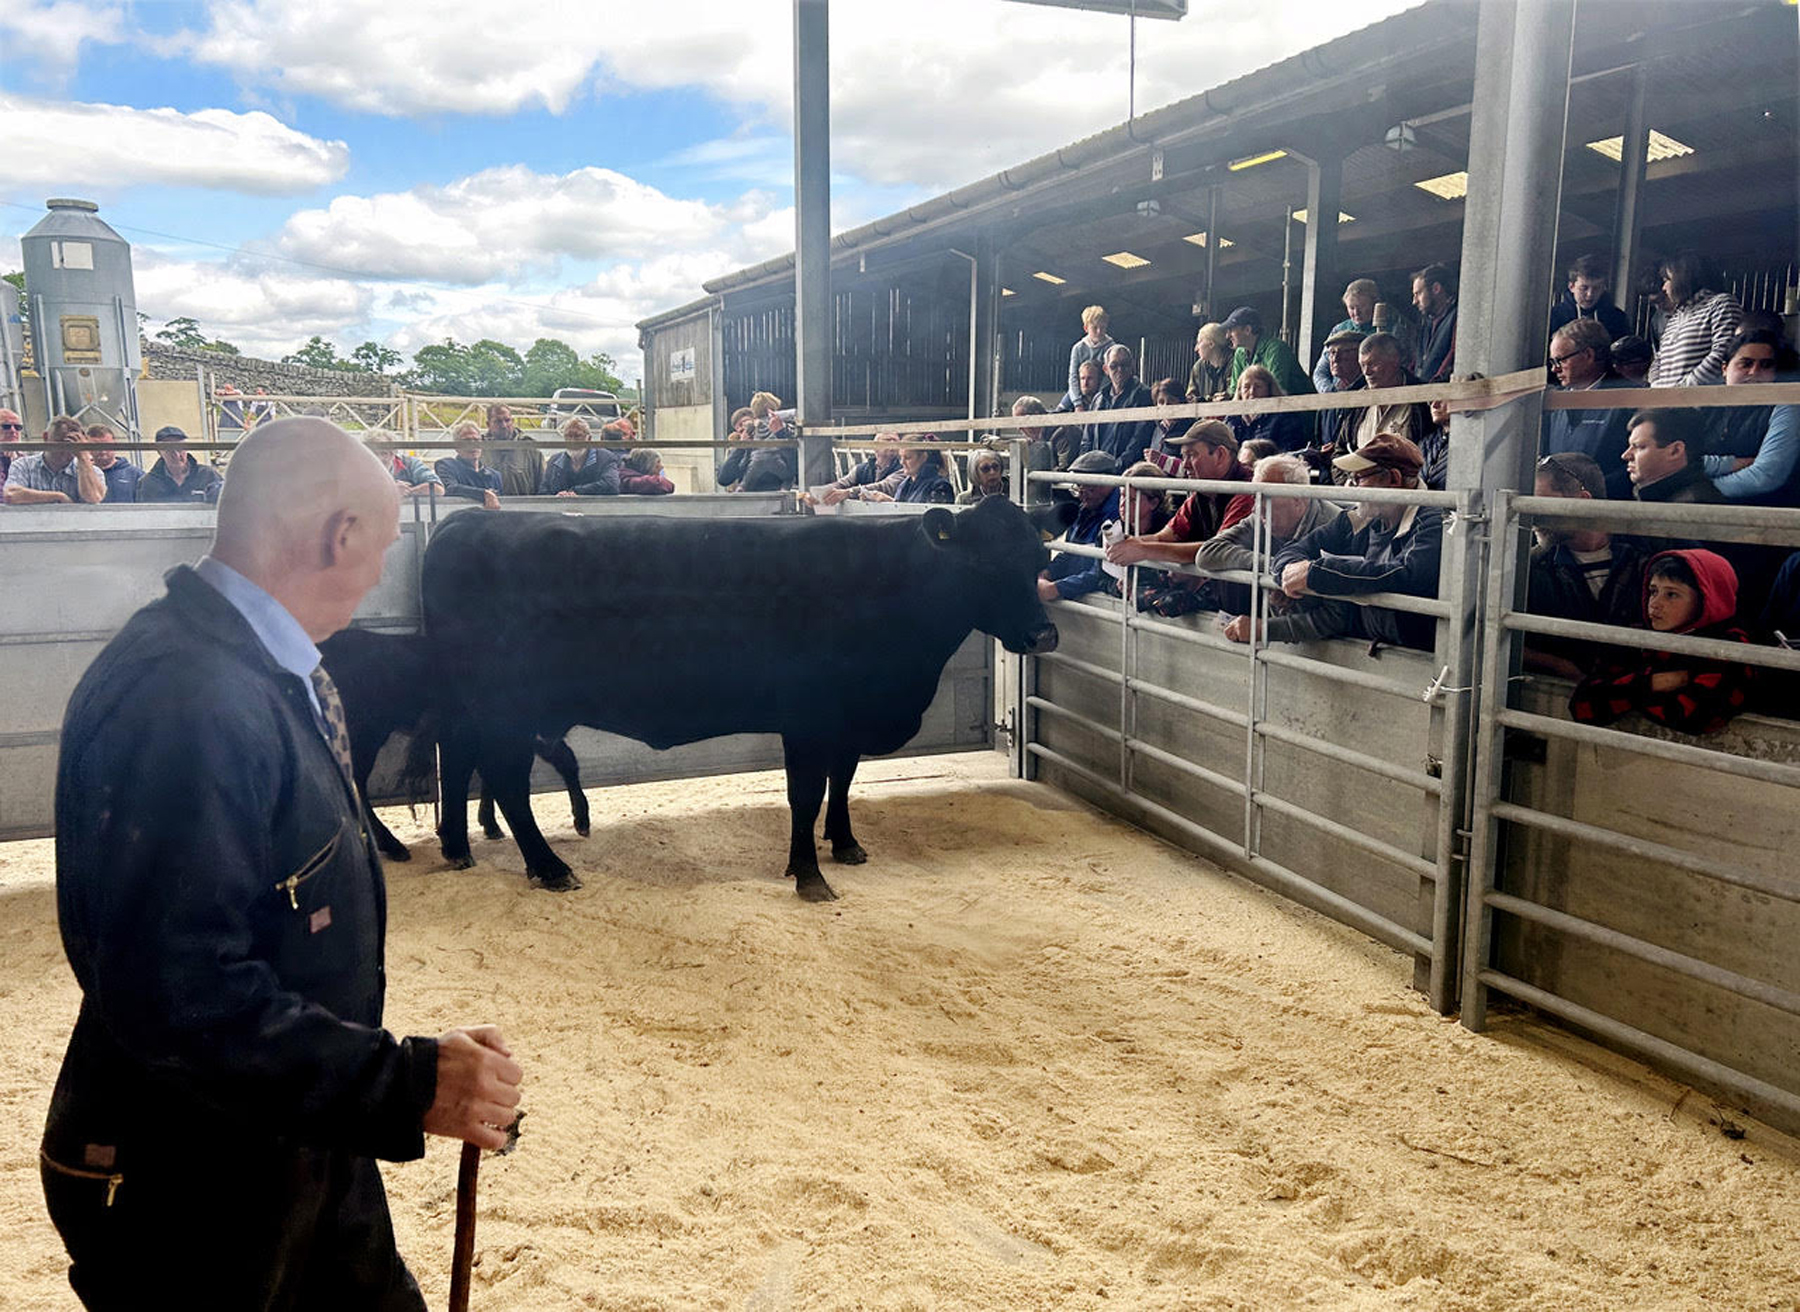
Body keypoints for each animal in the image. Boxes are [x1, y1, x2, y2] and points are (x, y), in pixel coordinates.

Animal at [313, 626, 586, 860]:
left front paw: (489, 824)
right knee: (357, 782)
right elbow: (562, 760)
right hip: (365, 733)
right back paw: (392, 845)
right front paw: (582, 819)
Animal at [417, 496, 1065, 896]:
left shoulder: (847, 719)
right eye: (982, 563)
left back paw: (458, 847)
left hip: (471, 705)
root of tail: (462, 522)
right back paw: (550, 868)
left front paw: (846, 844)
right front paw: (808, 876)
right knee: (505, 780)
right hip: (506, 706)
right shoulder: (807, 717)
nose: (1044, 635)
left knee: (460, 759)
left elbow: (843, 782)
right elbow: (805, 795)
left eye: (1041, 556)